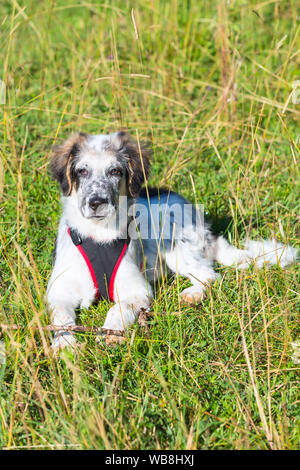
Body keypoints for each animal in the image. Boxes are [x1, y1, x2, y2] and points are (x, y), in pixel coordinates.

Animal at [47, 131, 298, 348]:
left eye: (115, 171)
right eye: (82, 171)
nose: (97, 203)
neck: (99, 236)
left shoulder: (137, 290)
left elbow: (117, 309)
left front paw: (112, 333)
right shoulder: (59, 291)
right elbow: (60, 318)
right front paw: (65, 345)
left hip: (175, 247)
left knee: (209, 274)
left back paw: (193, 294)